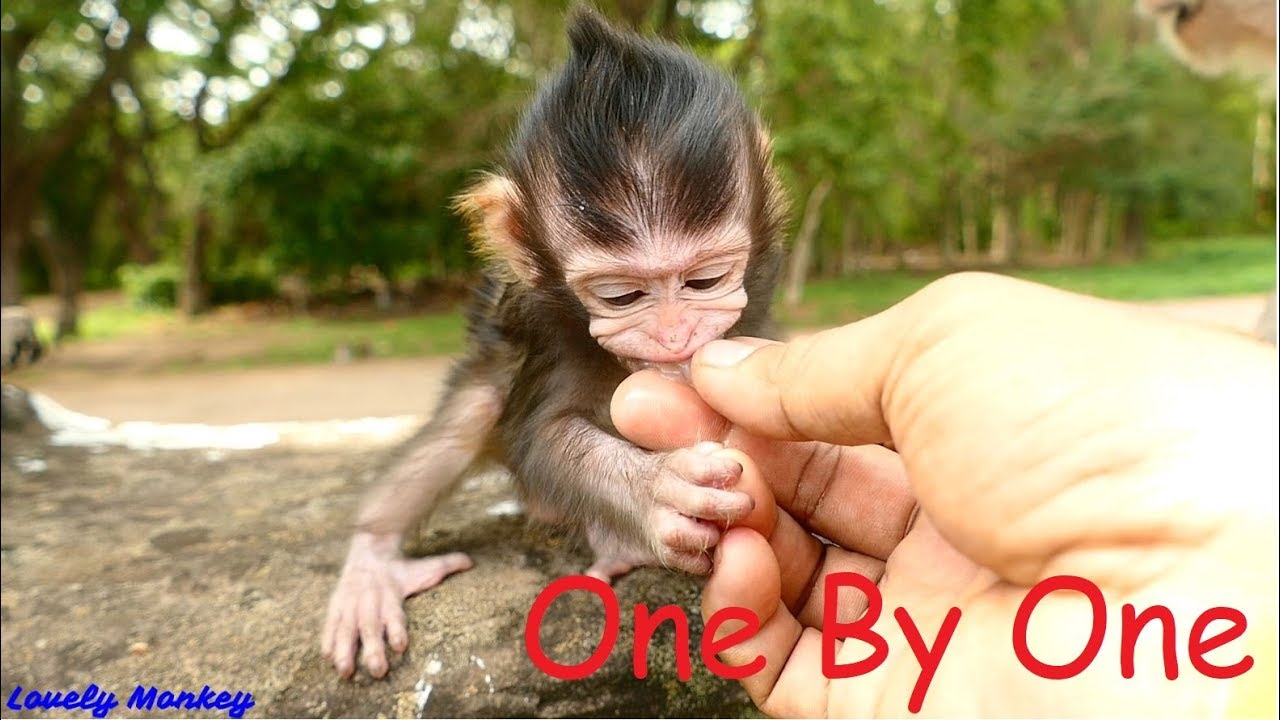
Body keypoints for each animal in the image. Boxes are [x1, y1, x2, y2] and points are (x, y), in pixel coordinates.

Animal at [321, 8, 788, 680]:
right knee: (476, 413)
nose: (673, 334)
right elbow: (542, 438)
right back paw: (371, 562)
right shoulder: (552, 330)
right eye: (622, 296)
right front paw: (657, 490)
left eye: (704, 281)